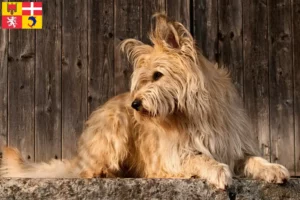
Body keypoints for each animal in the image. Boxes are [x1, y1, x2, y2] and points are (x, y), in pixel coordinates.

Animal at [0, 12, 290, 189]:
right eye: (142, 79)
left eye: (158, 75)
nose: (135, 105)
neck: (196, 113)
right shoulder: (174, 156)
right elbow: (199, 158)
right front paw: (217, 169)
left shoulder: (234, 145)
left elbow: (253, 158)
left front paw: (272, 168)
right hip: (114, 126)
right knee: (87, 171)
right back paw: (105, 172)